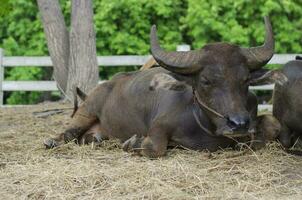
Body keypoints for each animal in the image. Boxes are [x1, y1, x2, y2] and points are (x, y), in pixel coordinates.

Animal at [44, 17, 276, 157]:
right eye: (206, 80)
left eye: (245, 79)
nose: (238, 123)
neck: (202, 124)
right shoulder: (157, 125)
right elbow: (155, 147)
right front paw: (133, 143)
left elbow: (267, 128)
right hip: (86, 110)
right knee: (68, 134)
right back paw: (52, 142)